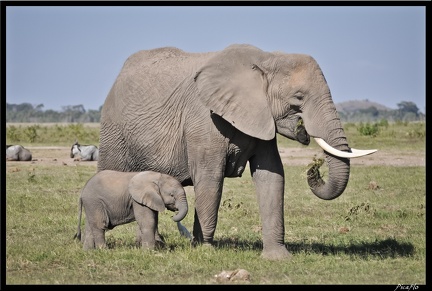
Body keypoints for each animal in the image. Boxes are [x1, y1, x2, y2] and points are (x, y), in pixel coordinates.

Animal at [99, 44, 376, 262]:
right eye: (298, 97)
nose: (315, 169)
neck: (268, 59)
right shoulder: (204, 119)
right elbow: (210, 180)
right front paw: (205, 251)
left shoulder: (262, 117)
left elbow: (272, 176)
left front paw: (278, 257)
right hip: (114, 131)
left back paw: (154, 244)